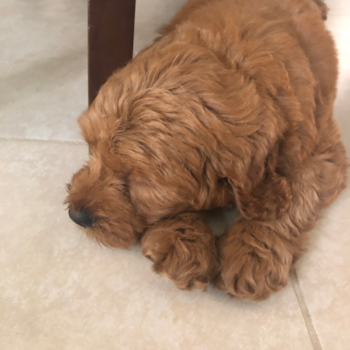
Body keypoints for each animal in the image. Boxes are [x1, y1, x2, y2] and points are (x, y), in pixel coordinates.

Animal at [65, 0, 348, 300]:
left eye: (139, 180)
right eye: (90, 147)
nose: (77, 215)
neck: (234, 58)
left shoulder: (323, 151)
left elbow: (295, 197)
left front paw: (252, 253)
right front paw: (183, 244)